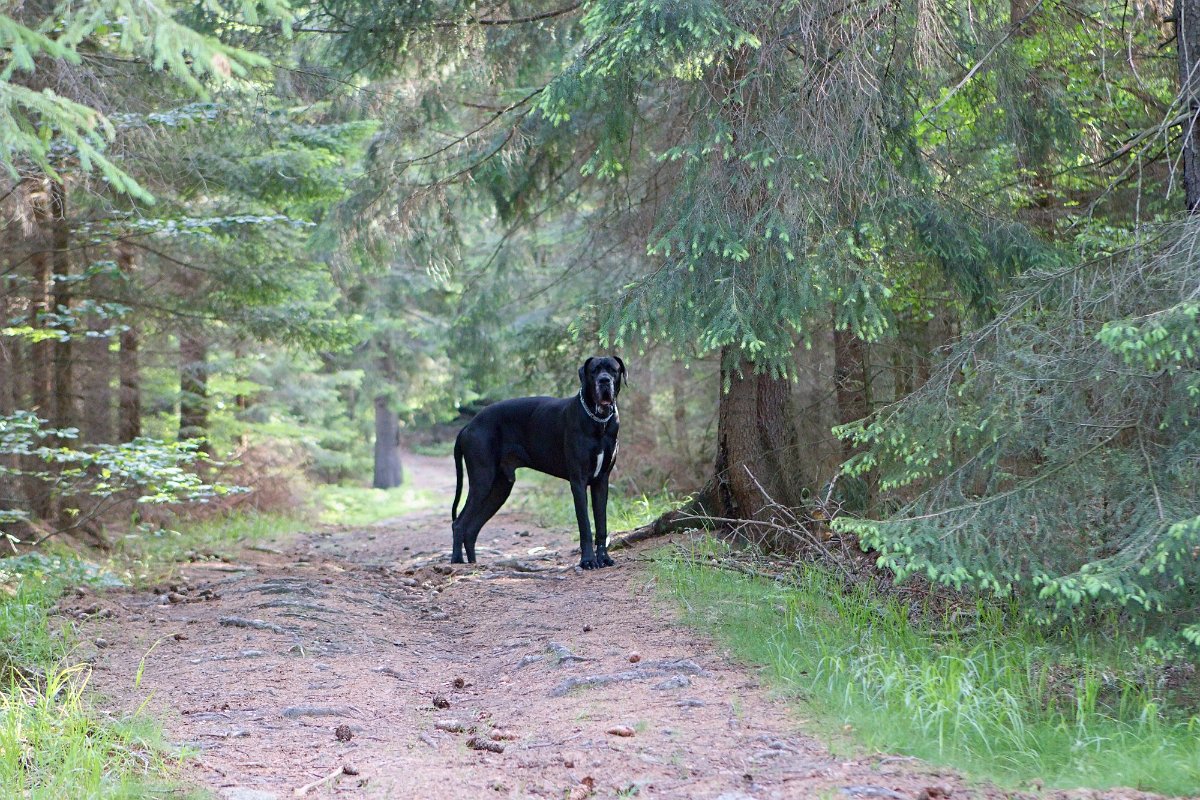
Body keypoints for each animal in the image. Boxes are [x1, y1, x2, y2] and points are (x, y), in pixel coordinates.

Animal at [451, 357, 628, 568]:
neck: (599, 421)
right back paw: (457, 561)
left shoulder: (601, 481)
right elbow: (585, 524)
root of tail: (468, 425)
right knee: (459, 523)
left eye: (613, 370)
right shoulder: (578, 481)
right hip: (482, 481)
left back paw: (473, 563)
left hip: (499, 489)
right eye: (594, 371)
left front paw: (603, 558)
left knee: (472, 528)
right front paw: (587, 561)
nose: (604, 381)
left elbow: (601, 524)